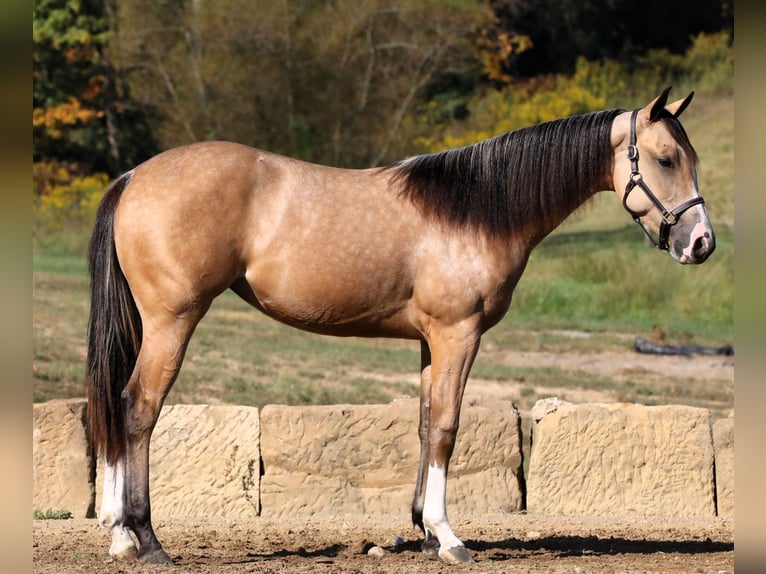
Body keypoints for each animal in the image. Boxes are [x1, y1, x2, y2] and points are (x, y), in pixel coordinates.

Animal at [87, 90, 716, 568]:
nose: (701, 244)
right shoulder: (458, 335)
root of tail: (134, 175)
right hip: (173, 320)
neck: (477, 210)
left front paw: (424, 531)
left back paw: (119, 534)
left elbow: (423, 424)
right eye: (664, 159)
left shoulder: (429, 343)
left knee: (116, 405)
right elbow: (447, 428)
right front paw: (450, 538)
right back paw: (146, 540)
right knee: (138, 407)